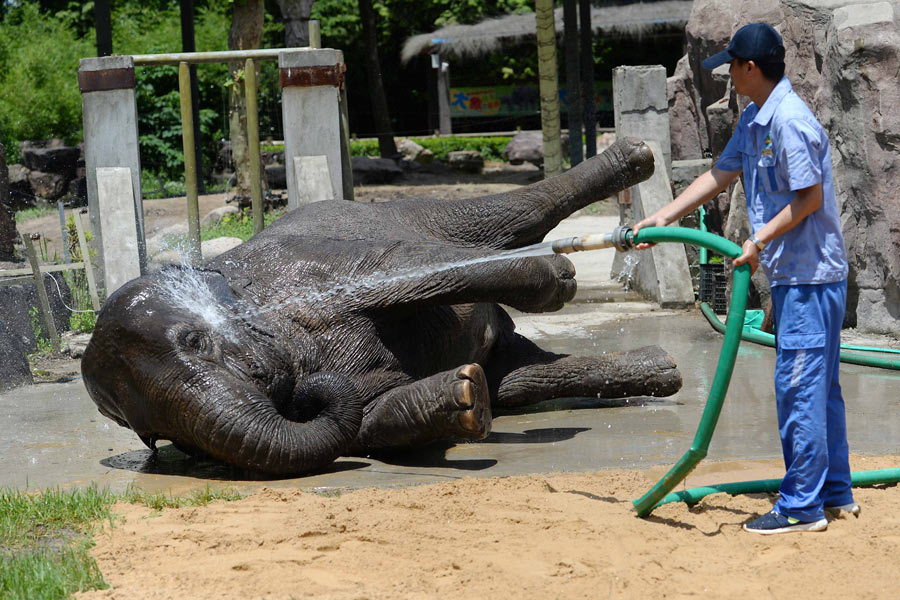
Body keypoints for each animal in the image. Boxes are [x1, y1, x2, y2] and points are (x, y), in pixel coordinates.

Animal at [82, 138, 684, 476]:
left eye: (195, 343)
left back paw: (633, 159)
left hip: (415, 212)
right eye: (150, 433)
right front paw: (465, 396)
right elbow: (371, 420)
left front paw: (557, 280)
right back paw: (661, 370)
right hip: (512, 356)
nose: (305, 394)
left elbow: (407, 268)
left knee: (506, 217)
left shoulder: (318, 267)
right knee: (524, 377)